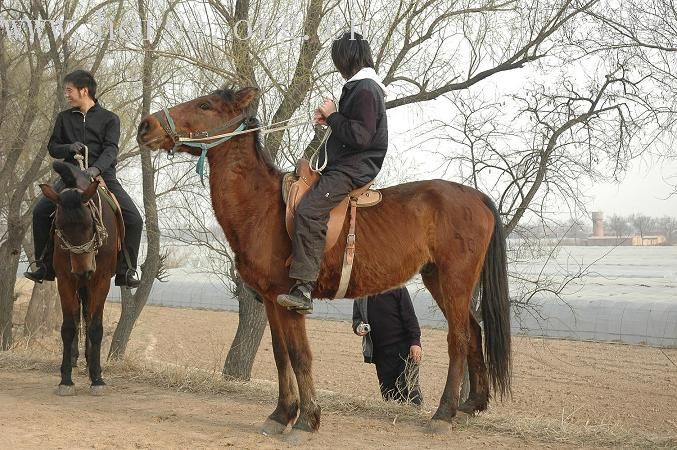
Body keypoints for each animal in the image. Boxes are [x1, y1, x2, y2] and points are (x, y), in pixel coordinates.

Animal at [39, 161, 117, 394]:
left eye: (90, 224)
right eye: (60, 227)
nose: (83, 271)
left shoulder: (101, 280)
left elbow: (96, 328)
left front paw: (97, 378)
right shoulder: (65, 280)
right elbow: (68, 327)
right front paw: (65, 379)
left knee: (90, 319)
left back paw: (91, 364)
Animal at [136, 88, 508, 436]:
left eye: (205, 105)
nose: (146, 126)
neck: (262, 207)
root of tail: (477, 196)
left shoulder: (290, 300)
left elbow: (301, 355)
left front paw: (306, 419)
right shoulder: (271, 301)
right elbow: (280, 354)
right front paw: (281, 415)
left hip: (454, 280)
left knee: (459, 338)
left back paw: (444, 414)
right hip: (439, 280)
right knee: (474, 332)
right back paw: (471, 405)